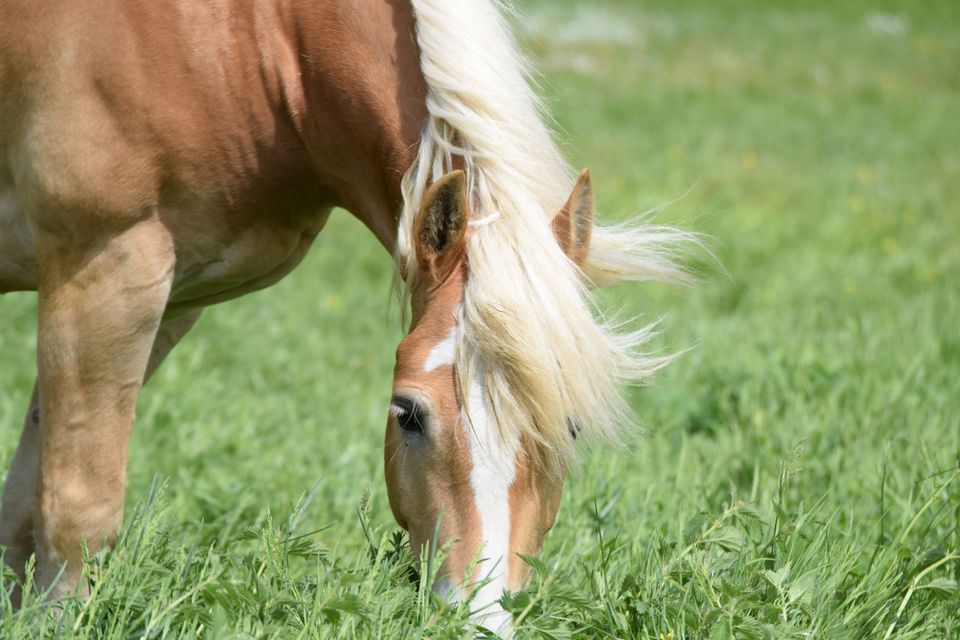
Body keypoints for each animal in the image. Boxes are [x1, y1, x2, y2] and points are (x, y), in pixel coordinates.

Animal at [0, 0, 688, 632]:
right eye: (407, 412)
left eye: (571, 428)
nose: (478, 619)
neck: (252, 36)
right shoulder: (105, 265)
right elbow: (75, 507)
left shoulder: (169, 298)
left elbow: (24, 502)